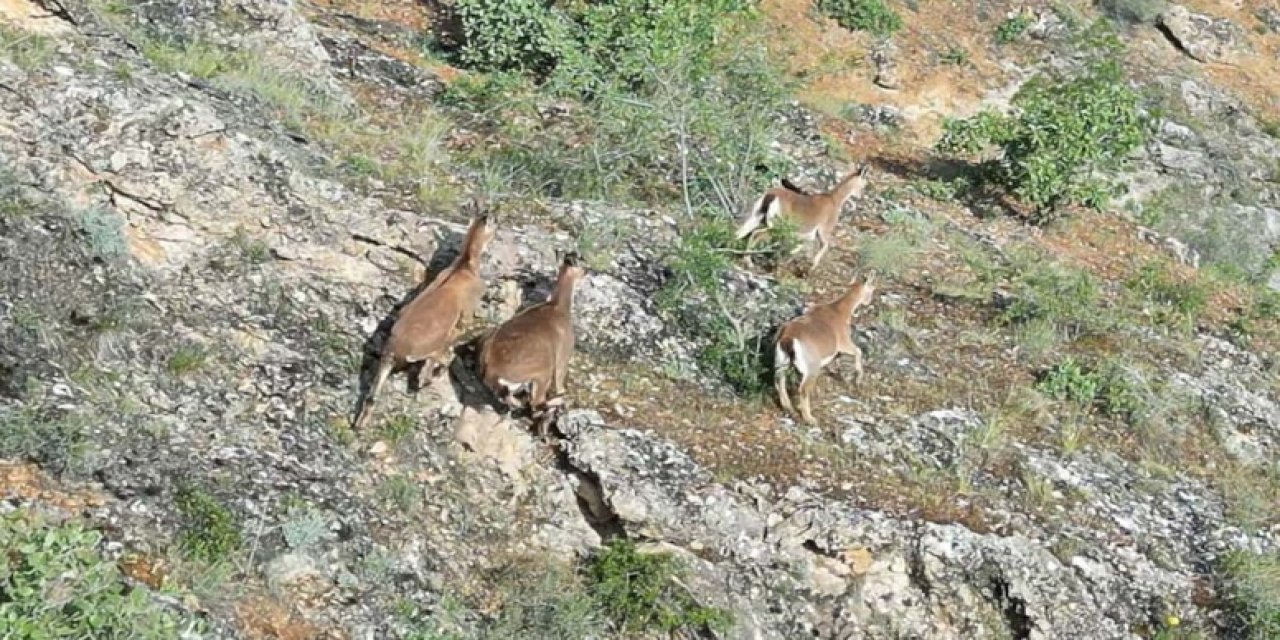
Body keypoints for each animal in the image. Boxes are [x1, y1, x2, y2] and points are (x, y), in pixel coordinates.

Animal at [353, 215, 496, 430]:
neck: (464, 266)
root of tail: (395, 349)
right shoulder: (466, 314)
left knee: (372, 396)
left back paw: (360, 422)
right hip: (433, 349)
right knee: (431, 370)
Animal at [476, 252, 586, 437]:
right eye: (583, 265)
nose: (586, 273)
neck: (558, 306)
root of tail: (492, 367)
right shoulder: (562, 358)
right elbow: (560, 385)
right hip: (543, 372)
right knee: (536, 402)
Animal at [768, 271, 880, 424]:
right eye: (872, 289)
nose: (868, 301)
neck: (839, 310)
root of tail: (788, 338)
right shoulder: (843, 342)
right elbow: (858, 351)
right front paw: (857, 379)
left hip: (781, 360)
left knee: (779, 380)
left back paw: (788, 408)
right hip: (811, 367)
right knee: (803, 389)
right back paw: (809, 418)